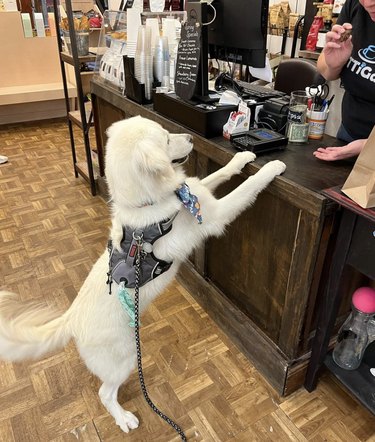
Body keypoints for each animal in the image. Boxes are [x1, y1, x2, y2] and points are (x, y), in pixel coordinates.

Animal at [0, 115, 288, 436]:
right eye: (166, 139)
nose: (192, 138)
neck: (150, 203)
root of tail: (70, 319)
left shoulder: (196, 192)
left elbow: (219, 173)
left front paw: (243, 157)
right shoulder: (214, 214)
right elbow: (249, 186)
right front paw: (272, 168)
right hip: (125, 359)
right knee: (105, 393)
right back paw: (124, 419)